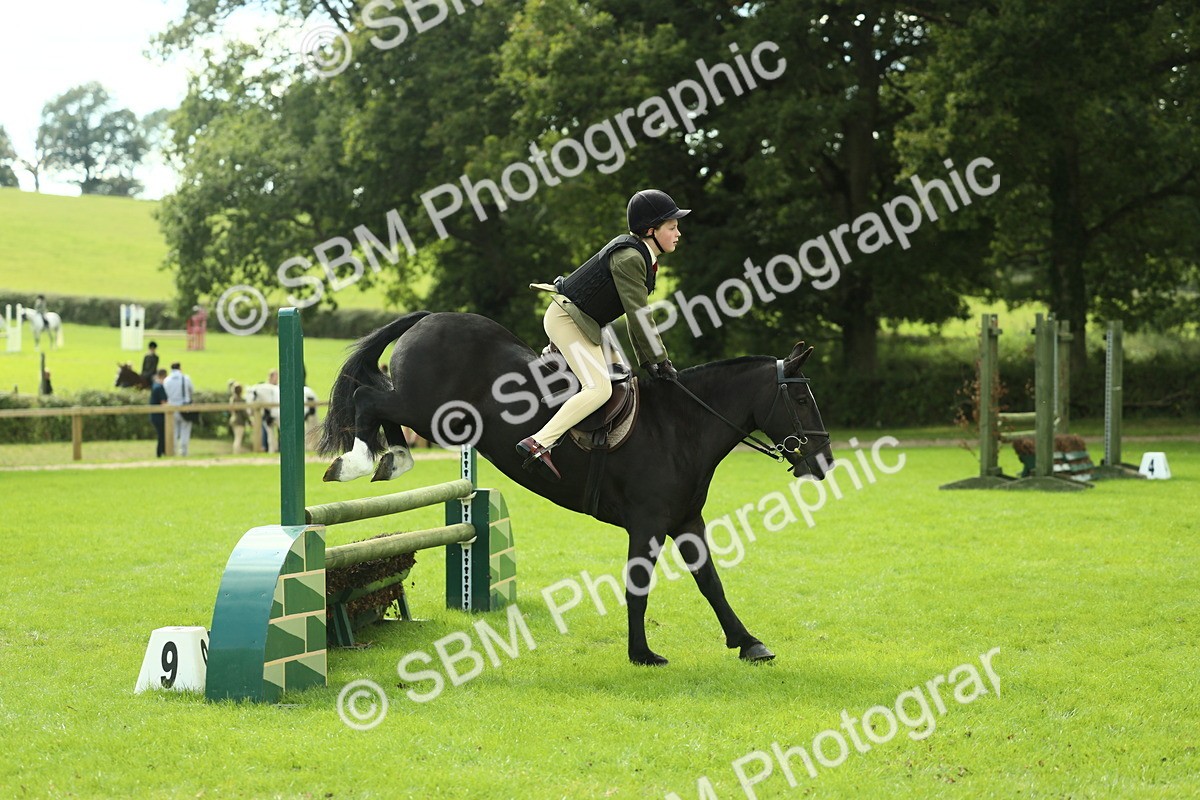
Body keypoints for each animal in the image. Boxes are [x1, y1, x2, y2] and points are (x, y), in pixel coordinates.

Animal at [318, 311, 833, 666]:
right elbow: (638, 588)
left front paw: (749, 644)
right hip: (427, 411)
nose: (824, 462)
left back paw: (392, 459)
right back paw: (357, 462)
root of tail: (431, 317)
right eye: (801, 397)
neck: (679, 428)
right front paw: (642, 654)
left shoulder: (686, 520)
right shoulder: (647, 524)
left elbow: (711, 583)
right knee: (369, 398)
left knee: (378, 405)